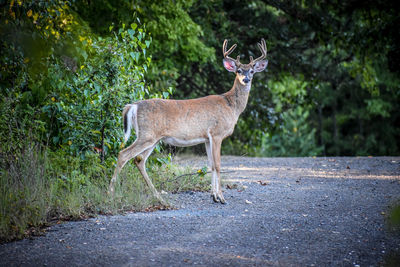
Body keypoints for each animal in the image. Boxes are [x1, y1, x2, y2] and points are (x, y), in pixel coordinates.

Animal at [108, 38, 268, 205]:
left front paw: (214, 196)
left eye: (252, 71)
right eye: (238, 71)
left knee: (139, 160)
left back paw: (159, 197)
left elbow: (211, 165)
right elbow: (218, 165)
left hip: (152, 138)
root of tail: (133, 106)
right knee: (123, 154)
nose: (246, 79)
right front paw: (222, 198)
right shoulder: (217, 133)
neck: (231, 105)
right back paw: (110, 194)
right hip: (148, 135)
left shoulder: (207, 138)